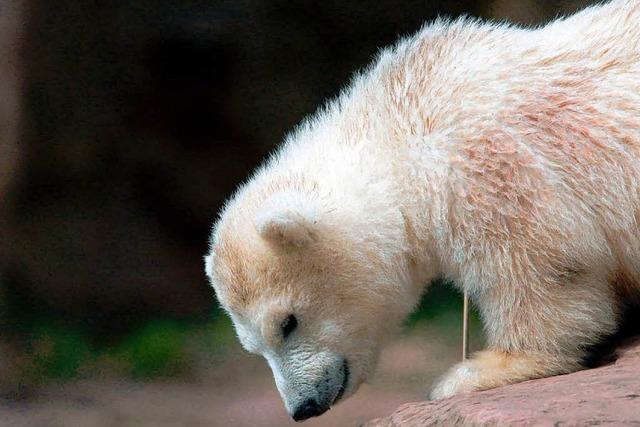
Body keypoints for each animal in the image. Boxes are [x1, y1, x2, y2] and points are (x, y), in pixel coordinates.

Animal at [204, 0, 640, 422]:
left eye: (287, 323)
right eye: (251, 346)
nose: (303, 408)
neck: (401, 125)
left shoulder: (486, 165)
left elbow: (539, 264)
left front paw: (479, 370)